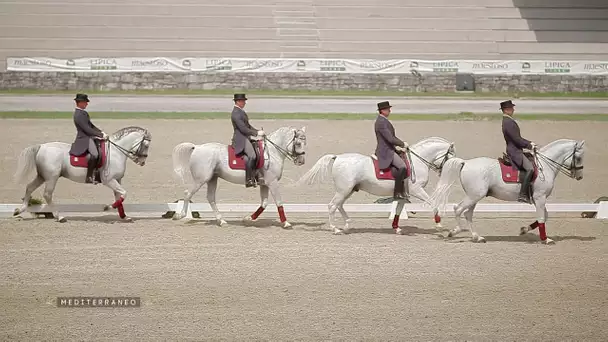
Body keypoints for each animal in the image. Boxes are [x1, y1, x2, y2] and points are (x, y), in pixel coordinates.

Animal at [12, 125, 152, 222]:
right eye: (145, 145)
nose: (142, 162)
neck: (116, 152)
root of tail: (42, 146)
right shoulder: (109, 180)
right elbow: (124, 194)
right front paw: (107, 207)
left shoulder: (117, 180)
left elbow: (120, 197)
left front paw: (124, 216)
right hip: (52, 177)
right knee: (47, 194)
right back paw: (59, 217)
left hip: (42, 176)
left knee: (29, 187)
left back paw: (19, 210)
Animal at [171, 125, 306, 227]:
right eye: (298, 143)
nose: (301, 161)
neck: (273, 152)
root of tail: (197, 147)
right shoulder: (272, 182)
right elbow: (278, 202)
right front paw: (286, 223)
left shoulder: (265, 184)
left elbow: (264, 204)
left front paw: (248, 218)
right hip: (201, 179)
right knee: (188, 194)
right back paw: (179, 215)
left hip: (212, 179)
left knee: (210, 198)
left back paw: (221, 221)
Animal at [294, 136, 456, 235]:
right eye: (450, 156)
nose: (445, 171)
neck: (417, 162)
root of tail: (338, 157)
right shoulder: (417, 190)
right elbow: (433, 203)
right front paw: (439, 224)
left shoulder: (403, 194)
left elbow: (398, 209)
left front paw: (397, 228)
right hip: (344, 190)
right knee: (332, 206)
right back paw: (336, 229)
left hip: (347, 190)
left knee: (339, 205)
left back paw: (346, 225)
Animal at [428, 138, 584, 244]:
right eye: (578, 157)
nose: (580, 177)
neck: (545, 166)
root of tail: (465, 162)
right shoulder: (540, 198)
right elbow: (541, 218)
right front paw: (546, 239)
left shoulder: (537, 199)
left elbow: (545, 216)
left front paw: (524, 229)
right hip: (474, 196)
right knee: (458, 209)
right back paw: (455, 232)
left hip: (475, 196)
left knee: (467, 214)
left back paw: (477, 237)